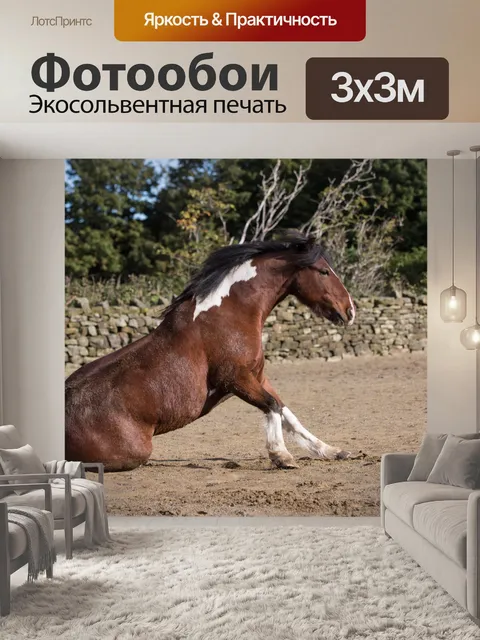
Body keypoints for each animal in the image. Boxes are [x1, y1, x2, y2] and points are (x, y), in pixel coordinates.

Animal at [65, 231, 356, 472]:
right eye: (324, 272)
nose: (350, 310)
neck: (228, 315)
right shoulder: (235, 379)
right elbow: (272, 406)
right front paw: (281, 456)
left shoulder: (258, 377)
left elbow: (286, 412)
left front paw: (331, 451)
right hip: (136, 452)